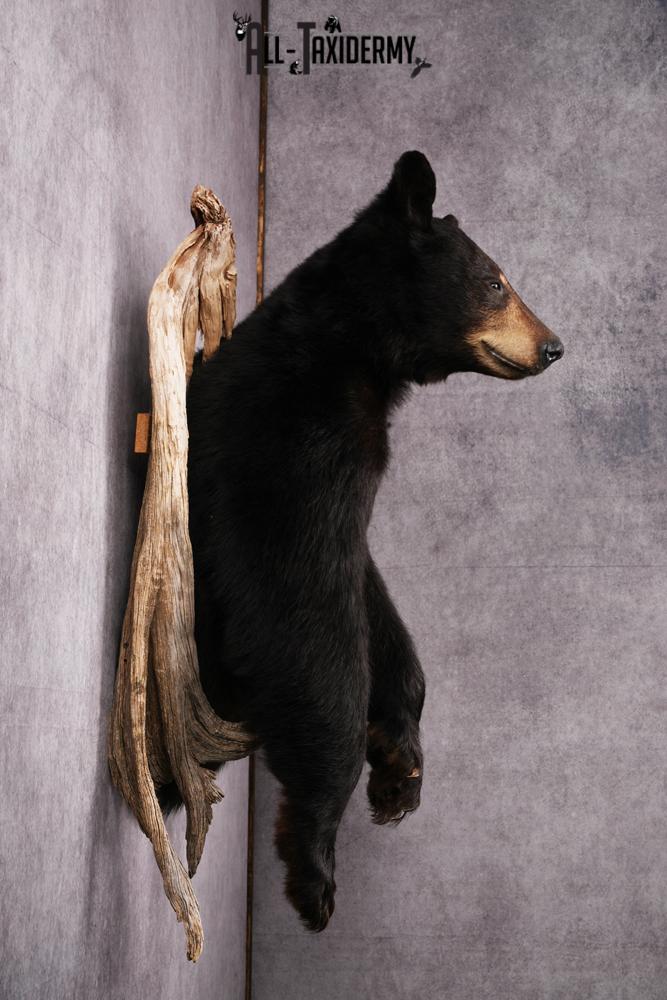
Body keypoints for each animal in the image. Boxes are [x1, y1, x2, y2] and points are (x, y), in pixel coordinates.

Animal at [181, 150, 563, 932]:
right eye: (495, 281)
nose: (553, 346)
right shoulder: (299, 447)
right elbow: (309, 620)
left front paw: (400, 764)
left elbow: (373, 596)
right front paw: (316, 861)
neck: (354, 351)